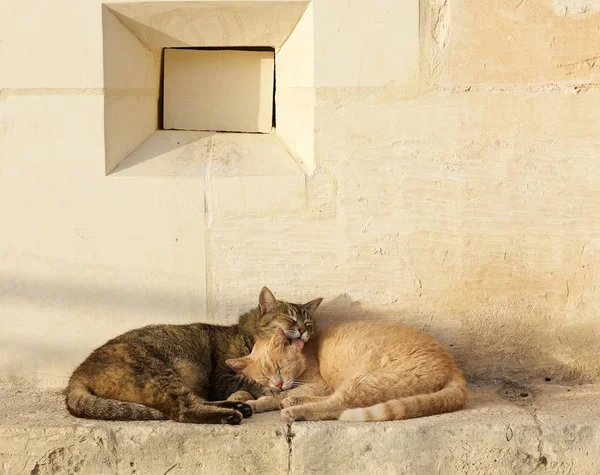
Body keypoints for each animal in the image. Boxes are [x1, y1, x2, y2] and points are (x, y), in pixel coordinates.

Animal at [65, 288, 324, 426]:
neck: (247, 335)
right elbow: (248, 380)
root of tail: (77, 374)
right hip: (159, 373)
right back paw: (231, 414)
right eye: (290, 319)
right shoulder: (223, 377)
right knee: (183, 410)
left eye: (309, 322)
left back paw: (237, 406)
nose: (304, 330)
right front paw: (267, 390)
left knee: (195, 401)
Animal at [227, 322, 466, 422]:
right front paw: (239, 397)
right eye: (264, 376)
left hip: (364, 381)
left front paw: (259, 401)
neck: (306, 352)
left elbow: (275, 396)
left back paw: (294, 410)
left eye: (280, 367)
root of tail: (455, 369)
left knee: (337, 406)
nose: (277, 382)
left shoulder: (318, 384)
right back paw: (294, 403)